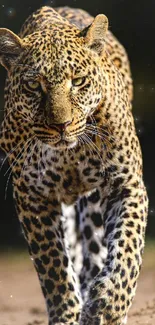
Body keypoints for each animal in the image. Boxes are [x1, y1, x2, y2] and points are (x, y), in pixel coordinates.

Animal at [0, 5, 148, 324]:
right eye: (34, 85)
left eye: (78, 81)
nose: (61, 125)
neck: (68, 154)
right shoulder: (32, 195)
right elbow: (53, 265)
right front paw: (65, 314)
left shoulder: (125, 183)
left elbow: (127, 249)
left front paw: (109, 305)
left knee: (94, 253)